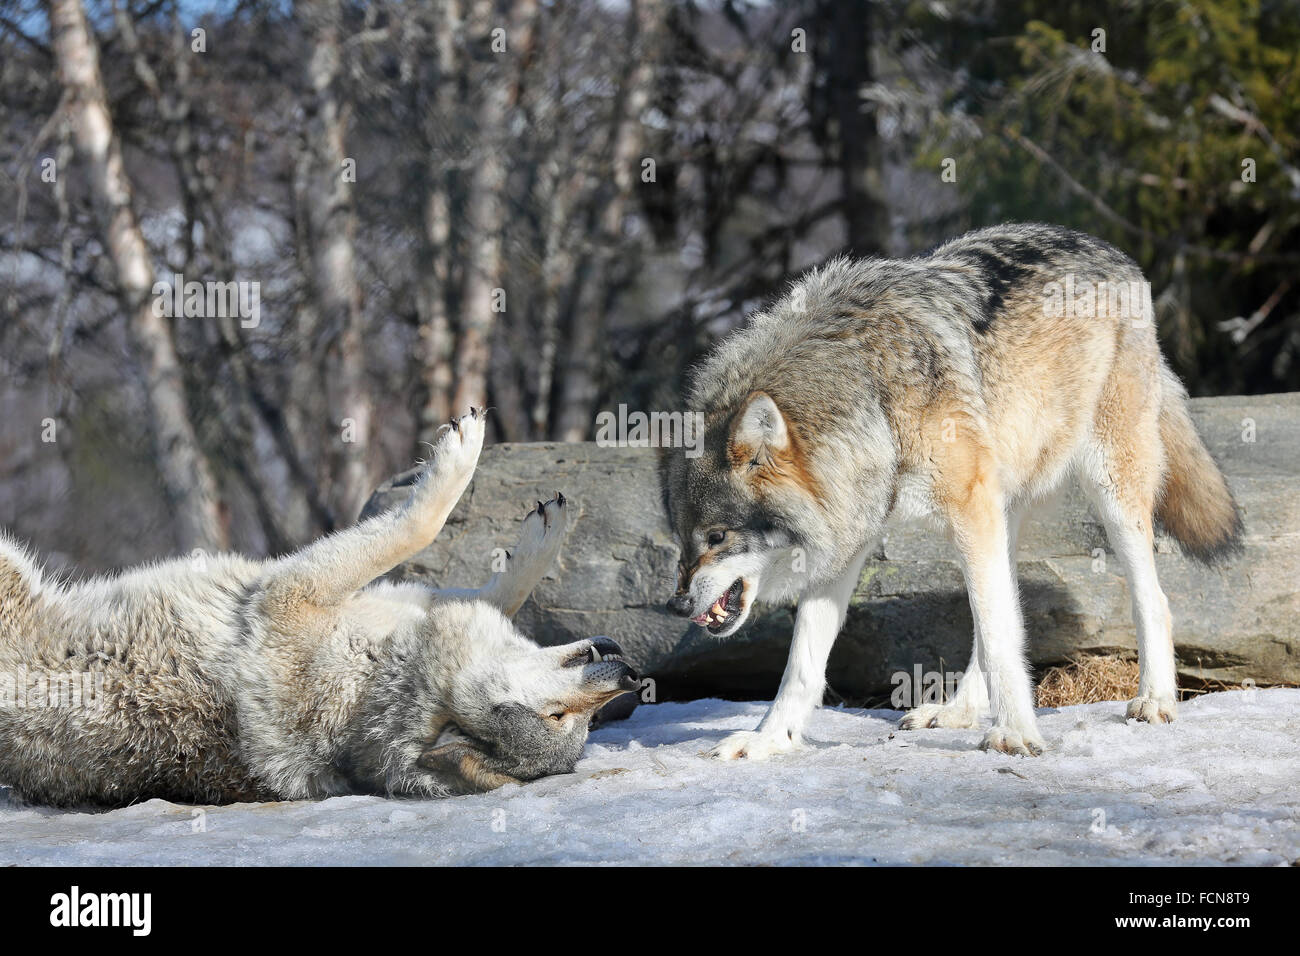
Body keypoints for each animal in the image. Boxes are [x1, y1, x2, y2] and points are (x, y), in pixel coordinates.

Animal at [0, 408, 638, 806]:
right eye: (561, 718)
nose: (630, 674)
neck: (380, 675)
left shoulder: (286, 591)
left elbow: (421, 528)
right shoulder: (388, 600)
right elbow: (492, 586)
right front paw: (543, 533)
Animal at [662, 223, 1241, 759]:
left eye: (717, 536)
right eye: (683, 538)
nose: (677, 604)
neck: (872, 395)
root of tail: (1110, 250)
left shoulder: (966, 509)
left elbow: (1001, 634)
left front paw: (1016, 733)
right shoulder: (850, 533)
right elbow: (802, 663)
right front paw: (768, 739)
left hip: (1107, 489)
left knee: (1152, 600)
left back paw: (1155, 699)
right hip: (1004, 511)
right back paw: (959, 712)